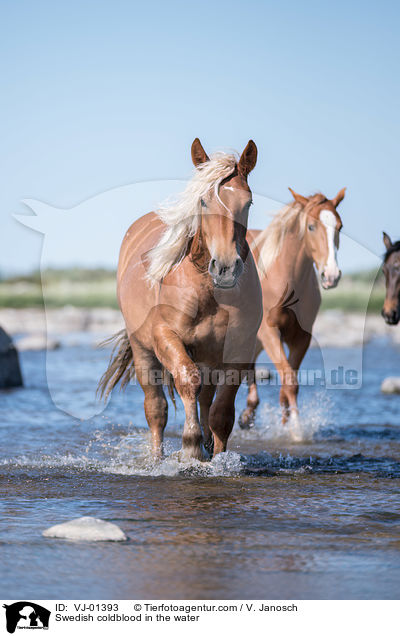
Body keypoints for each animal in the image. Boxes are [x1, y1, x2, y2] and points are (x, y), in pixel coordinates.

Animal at [99, 138, 262, 458]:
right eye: (203, 202)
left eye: (247, 203)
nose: (225, 268)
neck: (208, 293)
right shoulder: (166, 336)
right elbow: (187, 380)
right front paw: (191, 447)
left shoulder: (238, 349)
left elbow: (221, 412)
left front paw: (218, 457)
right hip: (143, 351)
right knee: (156, 408)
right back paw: (157, 457)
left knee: (206, 399)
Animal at [239, 186, 346, 430]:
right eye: (311, 226)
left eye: (339, 227)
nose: (331, 275)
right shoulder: (269, 332)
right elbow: (288, 380)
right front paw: (296, 430)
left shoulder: (301, 337)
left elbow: (289, 384)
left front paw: (287, 424)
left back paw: (247, 414)